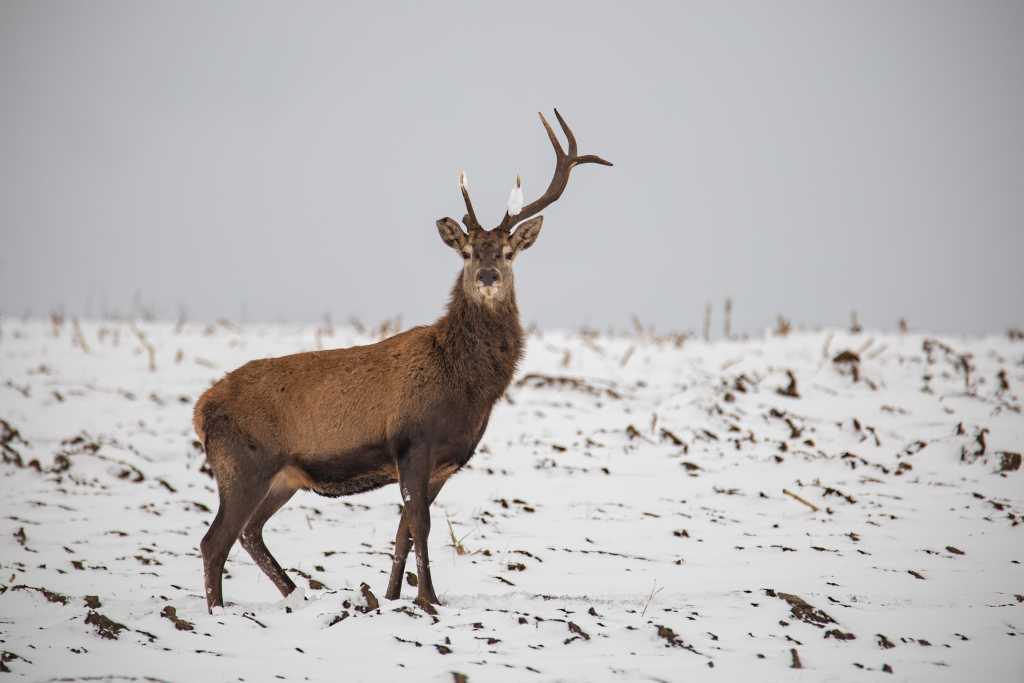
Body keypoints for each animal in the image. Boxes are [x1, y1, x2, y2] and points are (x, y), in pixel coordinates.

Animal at [192, 109, 606, 610]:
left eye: (508, 252)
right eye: (468, 252)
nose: (488, 275)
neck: (465, 386)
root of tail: (200, 408)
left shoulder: (444, 462)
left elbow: (403, 533)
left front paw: (391, 597)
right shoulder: (412, 442)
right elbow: (421, 527)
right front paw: (429, 599)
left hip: (281, 477)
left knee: (249, 533)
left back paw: (296, 593)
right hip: (243, 463)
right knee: (214, 540)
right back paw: (219, 611)